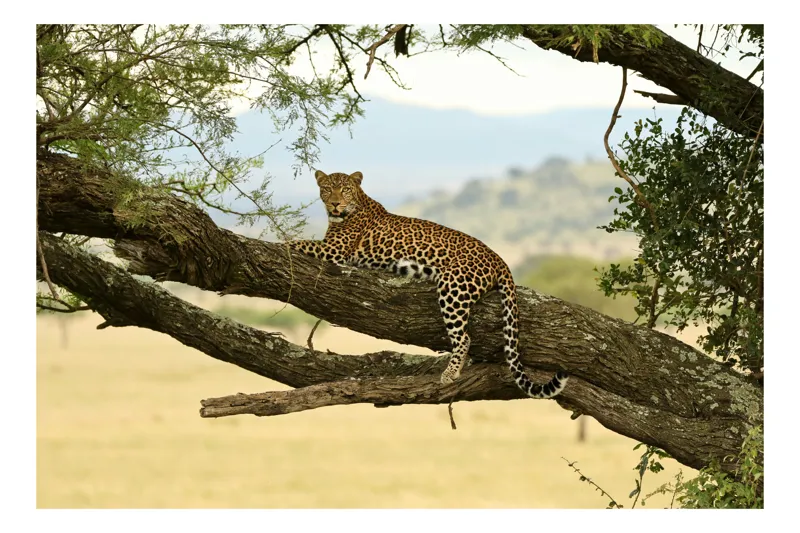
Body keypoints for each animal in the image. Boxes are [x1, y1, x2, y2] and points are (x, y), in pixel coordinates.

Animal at [288, 170, 568, 399]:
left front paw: (278, 243)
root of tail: (499, 259)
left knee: (464, 337)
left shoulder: (334, 251)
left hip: (453, 287)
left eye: (345, 189)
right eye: (327, 189)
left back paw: (450, 373)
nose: (335, 203)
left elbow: (296, 242)